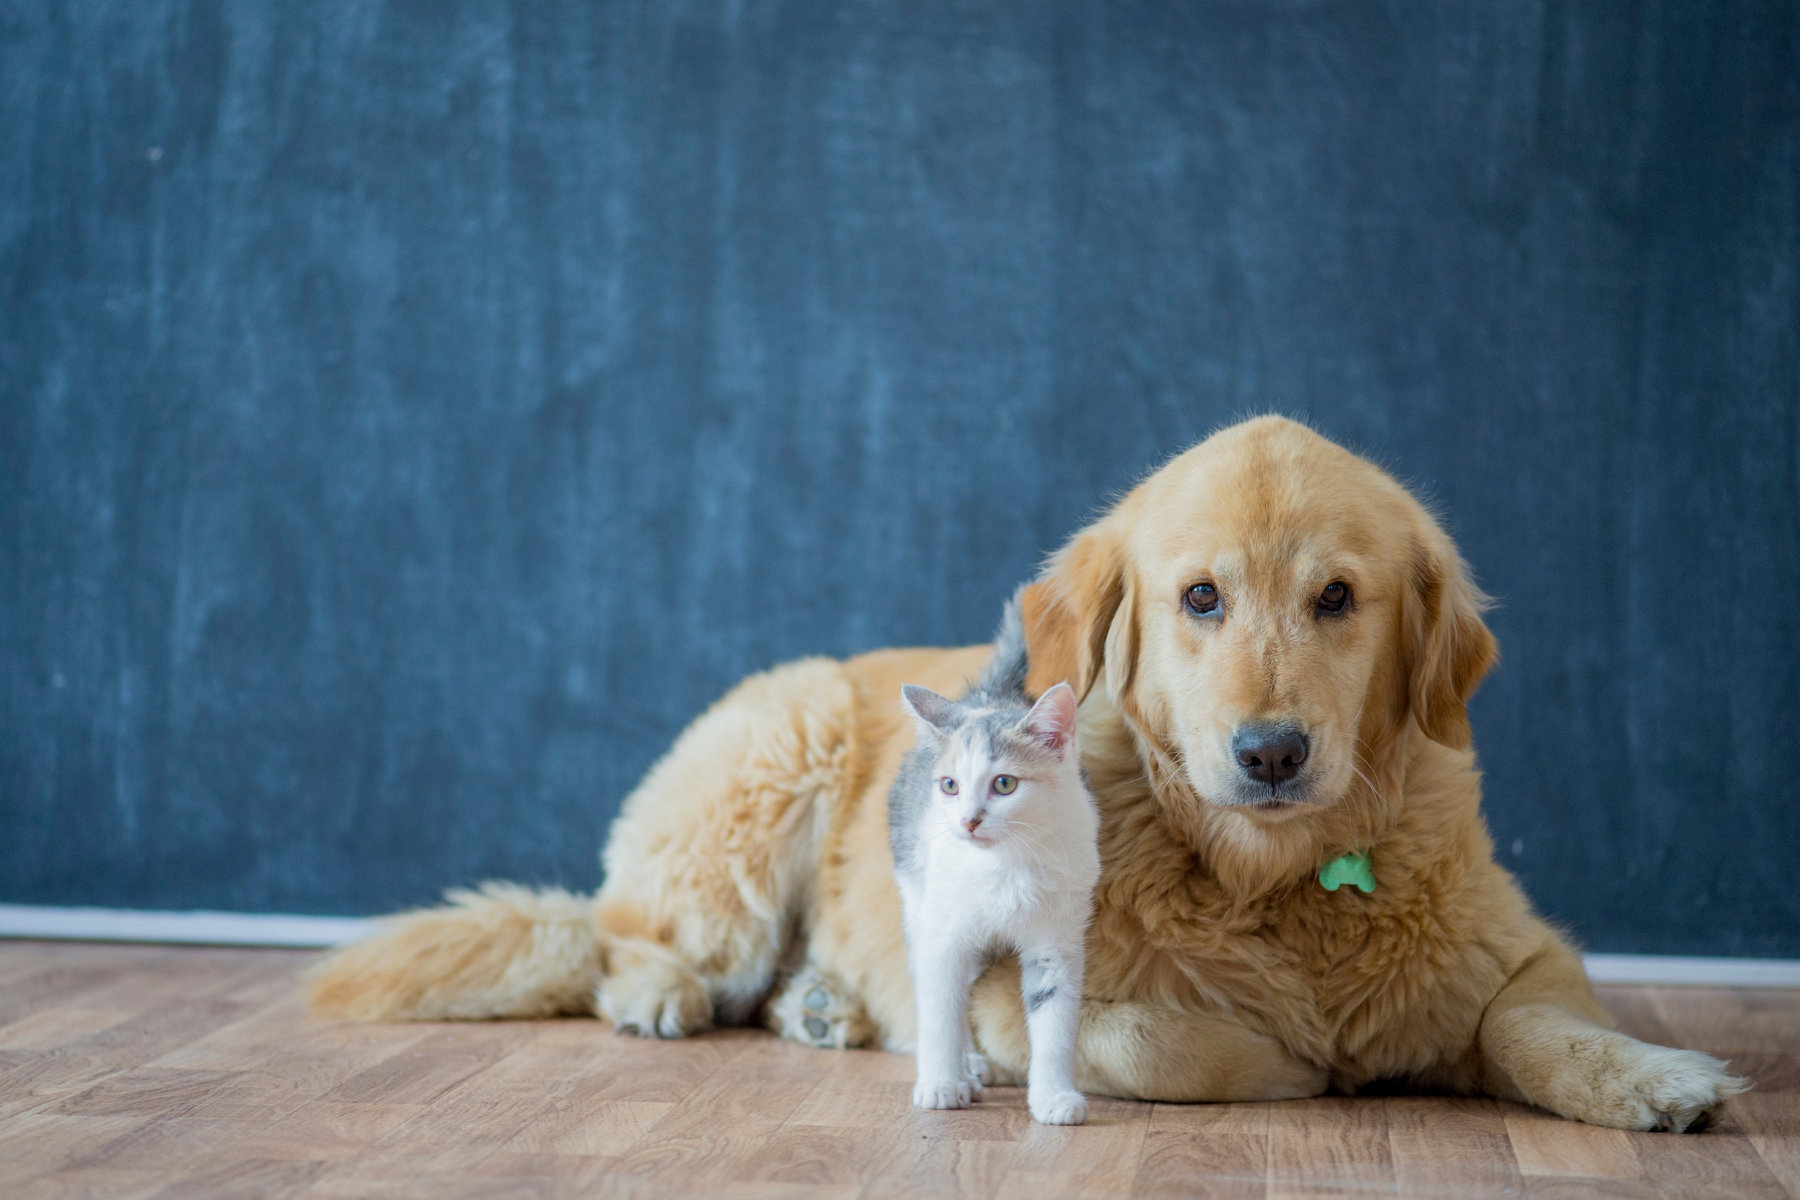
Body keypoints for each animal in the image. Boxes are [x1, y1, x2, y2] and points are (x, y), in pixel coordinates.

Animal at [885, 600, 1094, 1129]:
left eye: (1004, 784)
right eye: (950, 785)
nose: (968, 821)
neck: (1005, 863)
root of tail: (986, 694)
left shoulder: (1058, 941)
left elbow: (1054, 1020)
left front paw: (1054, 1097)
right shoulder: (943, 932)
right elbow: (940, 1008)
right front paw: (941, 1083)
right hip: (918, 895)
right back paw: (966, 1067)